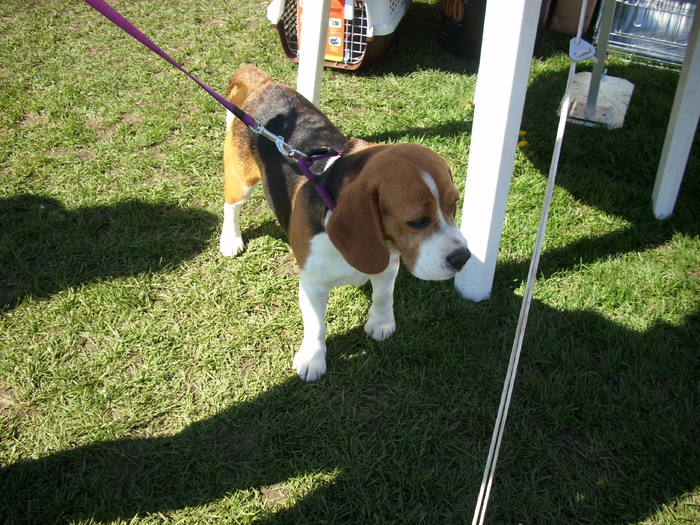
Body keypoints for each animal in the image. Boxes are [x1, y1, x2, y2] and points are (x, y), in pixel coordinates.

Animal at [219, 66, 470, 380]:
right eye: (417, 222)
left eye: (453, 205)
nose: (463, 258)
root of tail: (265, 84)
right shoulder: (312, 284)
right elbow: (316, 326)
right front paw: (312, 359)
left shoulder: (389, 262)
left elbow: (383, 295)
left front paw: (381, 323)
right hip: (241, 180)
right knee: (231, 206)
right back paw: (230, 240)